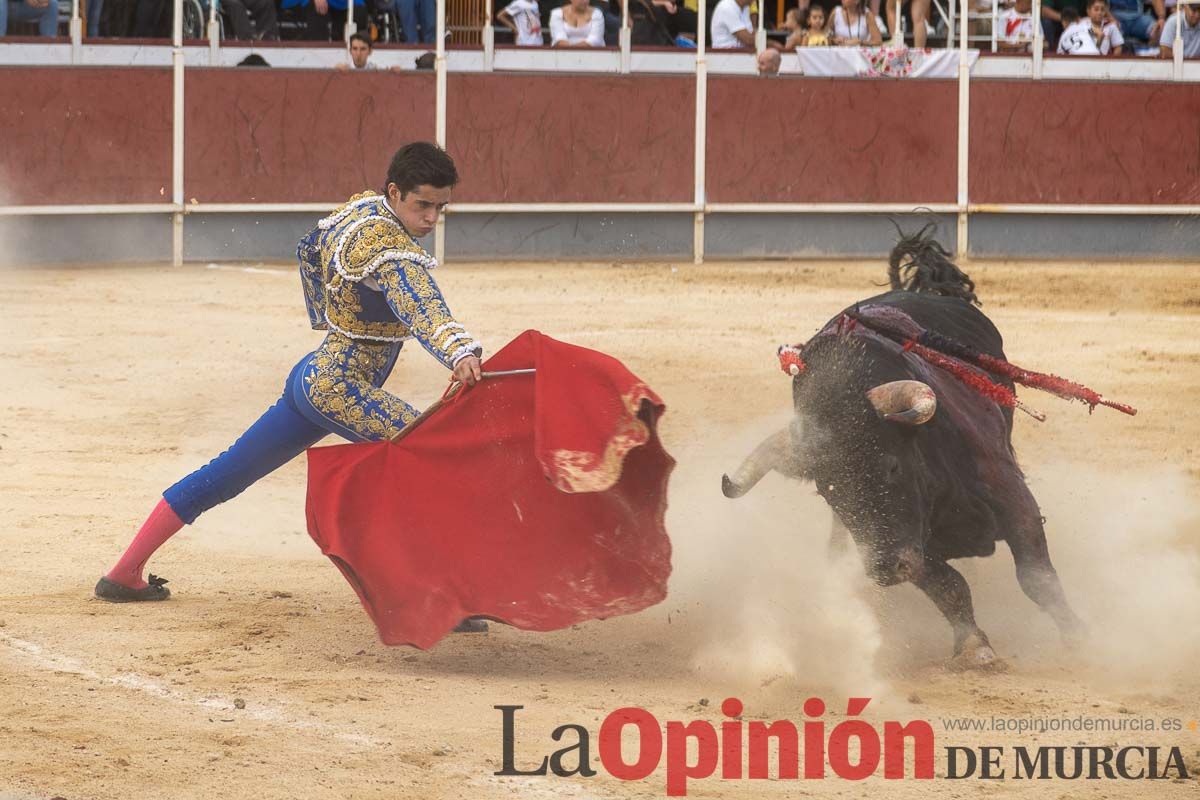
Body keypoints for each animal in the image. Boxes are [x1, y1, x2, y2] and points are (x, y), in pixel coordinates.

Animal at [720, 227, 1089, 666]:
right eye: (828, 490)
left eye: (892, 467)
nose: (883, 569)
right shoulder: (910, 545)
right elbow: (947, 584)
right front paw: (974, 646)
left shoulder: (1010, 494)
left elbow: (1036, 577)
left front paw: (1077, 637)